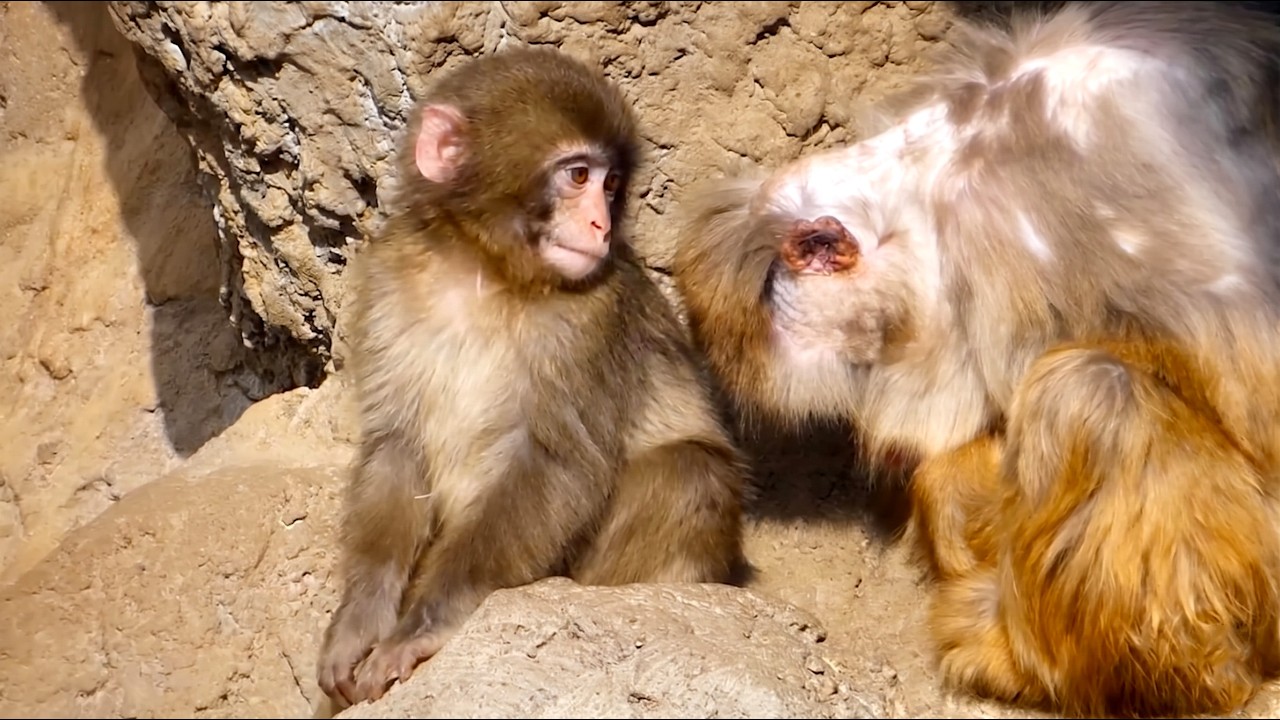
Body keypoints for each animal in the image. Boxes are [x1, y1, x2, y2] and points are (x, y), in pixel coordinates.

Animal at [315, 45, 747, 710]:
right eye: (578, 176)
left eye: (611, 185)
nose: (600, 226)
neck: (484, 270)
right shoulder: (389, 276)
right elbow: (395, 448)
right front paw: (359, 620)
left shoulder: (593, 317)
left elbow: (554, 462)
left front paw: (419, 628)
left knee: (689, 471)